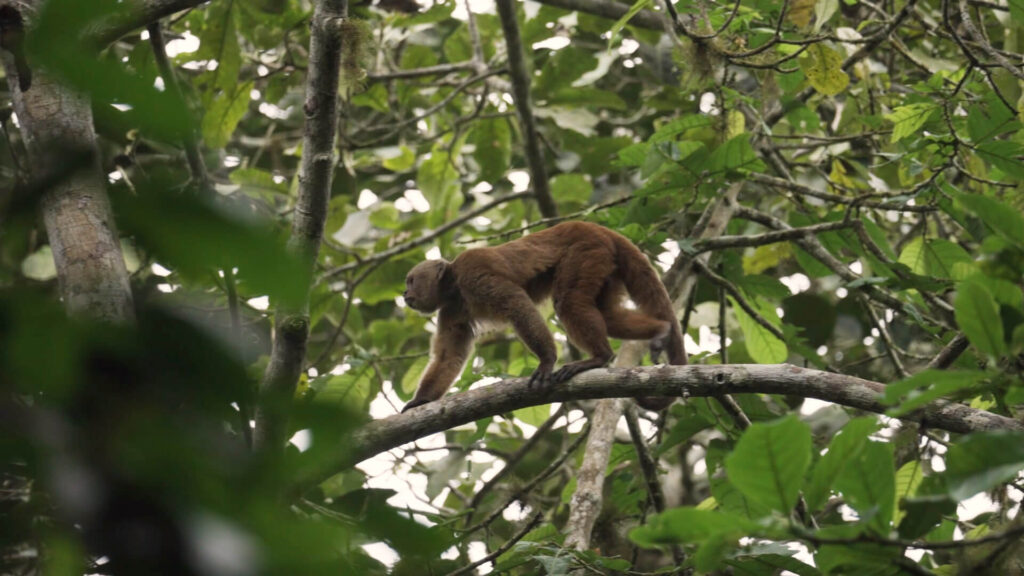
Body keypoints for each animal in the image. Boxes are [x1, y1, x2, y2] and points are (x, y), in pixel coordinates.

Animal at [401, 221, 685, 413]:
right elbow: (450, 355)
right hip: (606, 265)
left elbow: (517, 304)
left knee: (568, 302)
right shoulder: (450, 308)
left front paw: (547, 360)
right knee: (608, 315)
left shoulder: (473, 272)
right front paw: (422, 401)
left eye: (411, 280)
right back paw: (661, 330)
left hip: (587, 250)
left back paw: (599, 357)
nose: (404, 293)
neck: (454, 286)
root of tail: (597, 228)